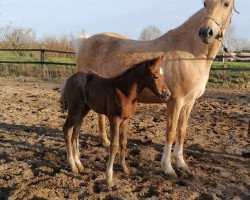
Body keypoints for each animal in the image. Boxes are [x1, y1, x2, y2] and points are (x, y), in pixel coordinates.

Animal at [60, 55, 171, 186]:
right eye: (155, 76)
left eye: (163, 75)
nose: (167, 94)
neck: (124, 92)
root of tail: (69, 79)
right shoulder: (114, 118)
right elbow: (114, 145)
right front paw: (109, 178)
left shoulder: (126, 120)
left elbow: (123, 142)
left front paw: (125, 169)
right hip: (75, 110)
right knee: (67, 130)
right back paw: (73, 166)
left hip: (83, 111)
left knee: (75, 133)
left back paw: (79, 165)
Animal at [75, 0, 235, 176]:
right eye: (205, 3)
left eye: (226, 4)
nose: (206, 32)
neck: (191, 53)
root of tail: (85, 41)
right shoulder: (175, 102)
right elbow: (170, 133)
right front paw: (168, 167)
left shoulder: (189, 102)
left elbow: (182, 131)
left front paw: (181, 163)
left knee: (100, 117)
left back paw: (104, 141)